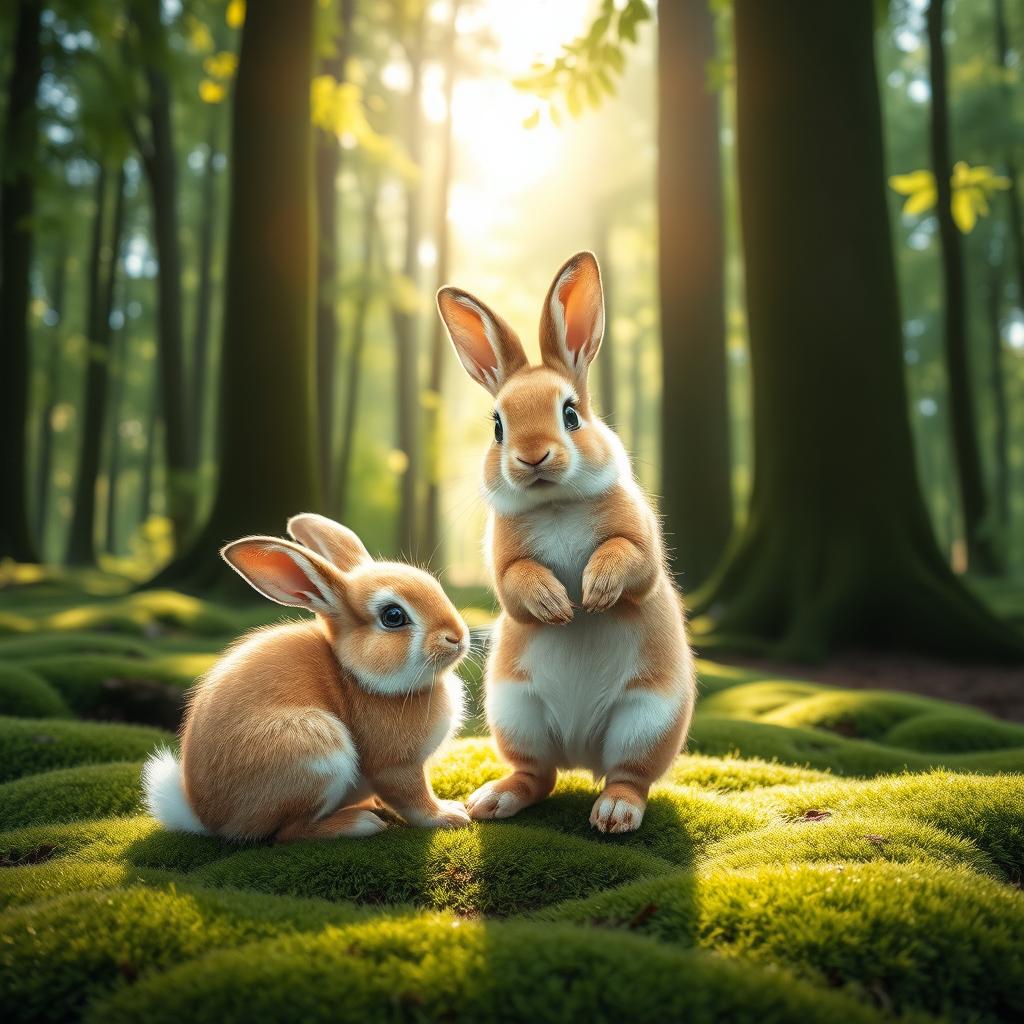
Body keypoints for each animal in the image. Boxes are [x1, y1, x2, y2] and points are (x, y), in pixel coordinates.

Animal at [142, 513, 471, 841]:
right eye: (393, 616)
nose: (456, 636)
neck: (358, 677)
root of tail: (205, 816)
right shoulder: (396, 765)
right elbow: (412, 799)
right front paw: (449, 815)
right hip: (315, 749)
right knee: (288, 833)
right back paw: (359, 823)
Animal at [436, 251, 695, 834]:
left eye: (570, 414)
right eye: (498, 426)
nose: (532, 456)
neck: (555, 503)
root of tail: (582, 751)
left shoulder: (639, 544)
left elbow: (629, 557)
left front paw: (594, 593)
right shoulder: (505, 565)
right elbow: (516, 582)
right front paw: (556, 604)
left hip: (647, 720)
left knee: (628, 776)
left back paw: (614, 813)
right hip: (516, 712)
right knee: (538, 776)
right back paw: (491, 800)